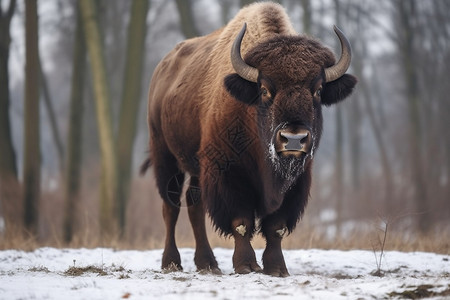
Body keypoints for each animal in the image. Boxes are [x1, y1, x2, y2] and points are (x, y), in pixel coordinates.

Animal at [142, 2, 356, 278]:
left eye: (318, 90)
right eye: (264, 89)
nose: (293, 139)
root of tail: (162, 70)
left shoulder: (296, 182)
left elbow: (276, 226)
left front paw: (276, 268)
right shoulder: (227, 174)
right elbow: (241, 222)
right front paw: (245, 265)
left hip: (195, 169)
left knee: (194, 204)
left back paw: (207, 263)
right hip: (165, 157)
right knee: (171, 206)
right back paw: (172, 262)